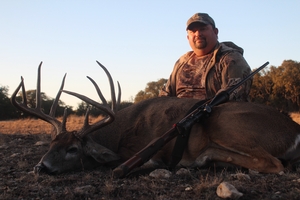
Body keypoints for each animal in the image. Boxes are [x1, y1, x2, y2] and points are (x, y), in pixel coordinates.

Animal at [10, 60, 300, 175]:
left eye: (72, 149)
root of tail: (293, 130)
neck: (118, 137)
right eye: (51, 145)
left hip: (227, 124)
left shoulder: (143, 153)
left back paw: (204, 158)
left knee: (273, 163)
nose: (41, 167)